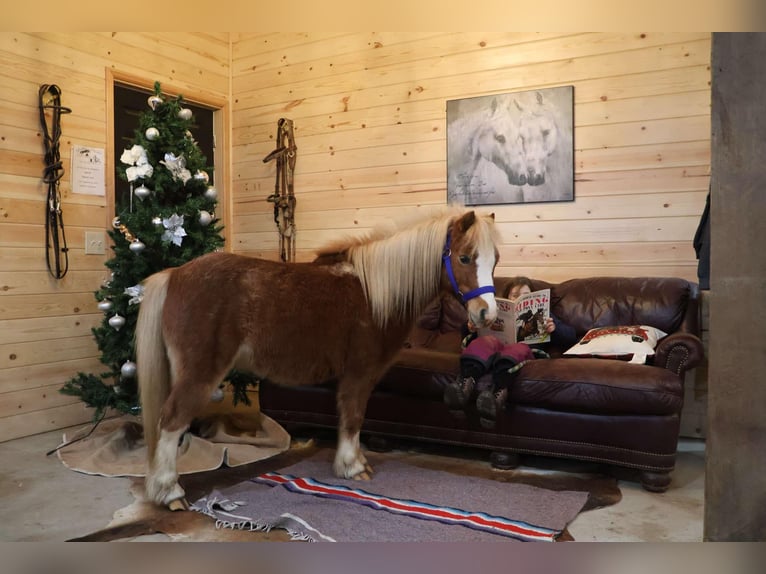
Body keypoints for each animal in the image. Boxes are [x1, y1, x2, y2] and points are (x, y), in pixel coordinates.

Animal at [135, 210, 500, 508]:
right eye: (464, 258)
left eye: (494, 260)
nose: (487, 314)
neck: (374, 293)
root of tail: (174, 274)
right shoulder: (358, 375)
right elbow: (353, 419)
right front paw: (352, 467)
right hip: (199, 374)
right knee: (171, 421)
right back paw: (170, 493)